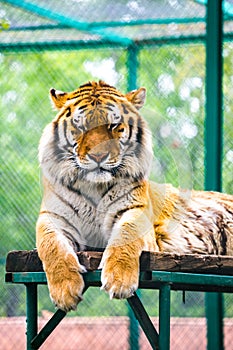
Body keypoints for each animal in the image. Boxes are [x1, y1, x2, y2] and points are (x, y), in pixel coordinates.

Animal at [36, 80, 233, 312]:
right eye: (81, 127)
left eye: (113, 125)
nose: (98, 156)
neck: (94, 186)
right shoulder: (53, 217)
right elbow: (51, 246)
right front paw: (65, 290)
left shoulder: (134, 211)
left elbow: (126, 235)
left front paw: (119, 280)